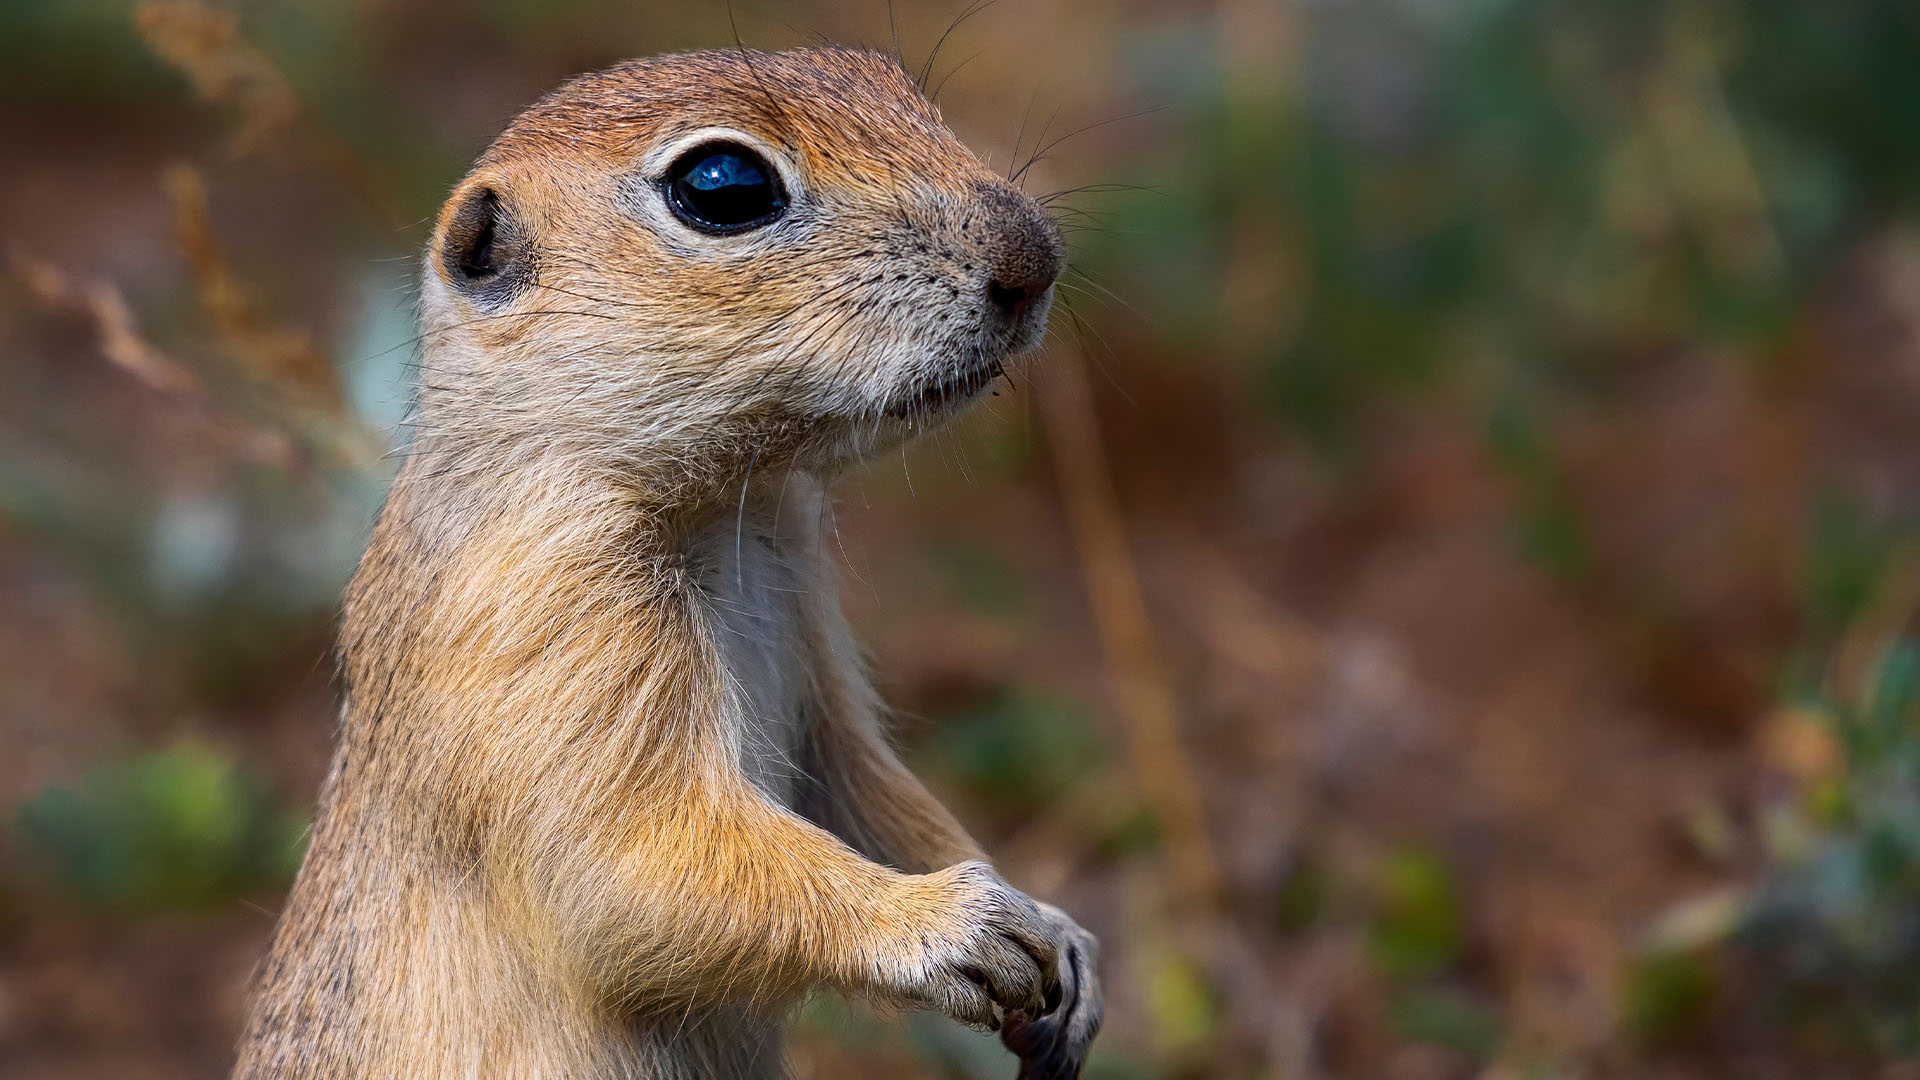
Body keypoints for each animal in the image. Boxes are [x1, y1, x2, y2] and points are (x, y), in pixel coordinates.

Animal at [238, 44, 1105, 1076]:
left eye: (890, 77)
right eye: (722, 186)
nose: (1035, 256)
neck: (727, 508)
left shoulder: (812, 646)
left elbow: (869, 792)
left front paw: (1061, 935)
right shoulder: (546, 616)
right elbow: (632, 864)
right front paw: (947, 922)